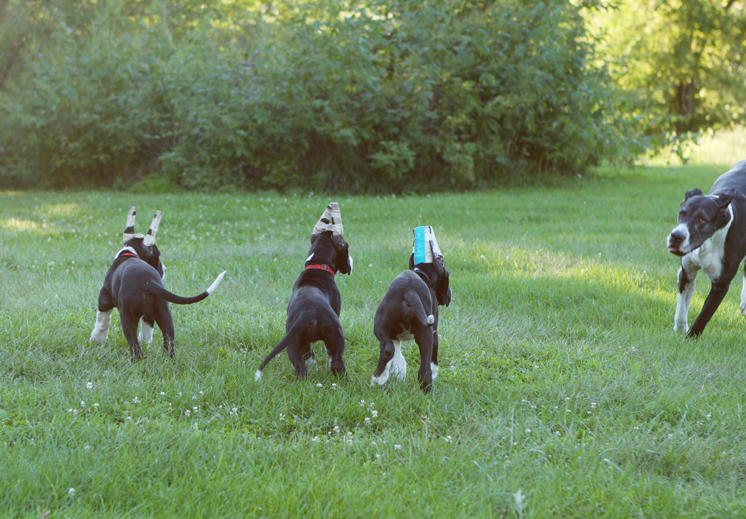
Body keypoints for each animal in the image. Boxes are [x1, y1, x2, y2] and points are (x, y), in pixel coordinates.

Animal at [89, 206, 224, 358]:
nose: (164, 269)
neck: (129, 253)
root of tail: (147, 282)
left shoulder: (104, 298)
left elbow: (102, 319)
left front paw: (97, 338)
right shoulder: (150, 315)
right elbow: (147, 330)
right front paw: (145, 342)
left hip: (128, 317)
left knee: (135, 346)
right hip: (164, 313)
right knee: (169, 342)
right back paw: (167, 360)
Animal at [253, 204, 352, 382]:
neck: (317, 265)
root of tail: (310, 312)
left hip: (294, 342)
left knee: (302, 367)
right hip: (335, 336)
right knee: (335, 362)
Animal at [370, 228, 450, 394]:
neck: (421, 273)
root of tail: (409, 292)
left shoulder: (394, 335)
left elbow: (398, 356)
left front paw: (397, 374)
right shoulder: (434, 331)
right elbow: (433, 357)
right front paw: (435, 372)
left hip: (381, 326)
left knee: (387, 349)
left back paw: (378, 378)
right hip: (426, 333)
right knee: (424, 366)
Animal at [664, 160, 744, 340]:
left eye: (702, 219)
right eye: (681, 213)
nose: (676, 236)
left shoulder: (721, 284)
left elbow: (705, 314)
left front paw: (691, 337)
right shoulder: (687, 272)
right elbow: (681, 307)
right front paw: (680, 329)